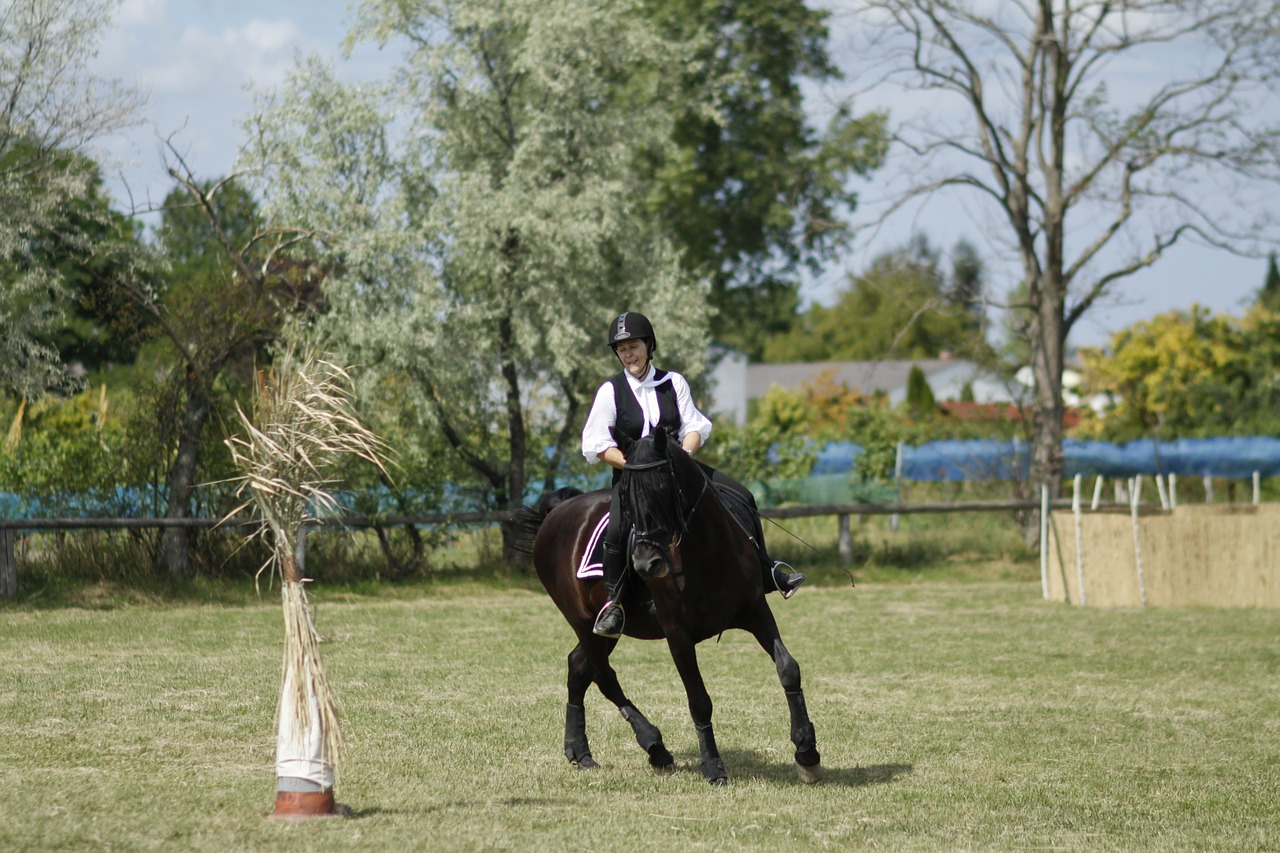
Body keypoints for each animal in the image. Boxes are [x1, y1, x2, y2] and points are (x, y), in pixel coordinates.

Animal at [517, 427, 819, 778]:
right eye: (625, 498)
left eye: (663, 489)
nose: (646, 564)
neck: (705, 552)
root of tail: (555, 514)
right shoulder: (677, 634)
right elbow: (699, 700)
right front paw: (712, 766)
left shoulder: (756, 611)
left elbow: (788, 668)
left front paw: (807, 752)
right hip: (582, 621)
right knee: (603, 675)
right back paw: (655, 746)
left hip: (605, 630)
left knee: (579, 667)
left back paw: (580, 751)